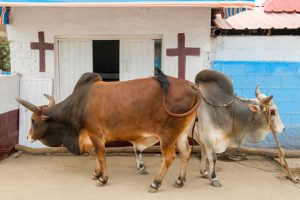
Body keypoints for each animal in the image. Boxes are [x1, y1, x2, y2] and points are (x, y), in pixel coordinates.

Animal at [15, 69, 199, 192]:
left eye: (33, 121)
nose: (28, 136)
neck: (79, 105)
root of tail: (191, 86)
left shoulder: (96, 134)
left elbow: (102, 156)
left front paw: (103, 178)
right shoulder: (93, 136)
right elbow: (98, 156)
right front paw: (96, 174)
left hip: (167, 135)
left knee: (169, 157)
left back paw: (156, 183)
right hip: (182, 133)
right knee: (186, 152)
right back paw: (180, 180)